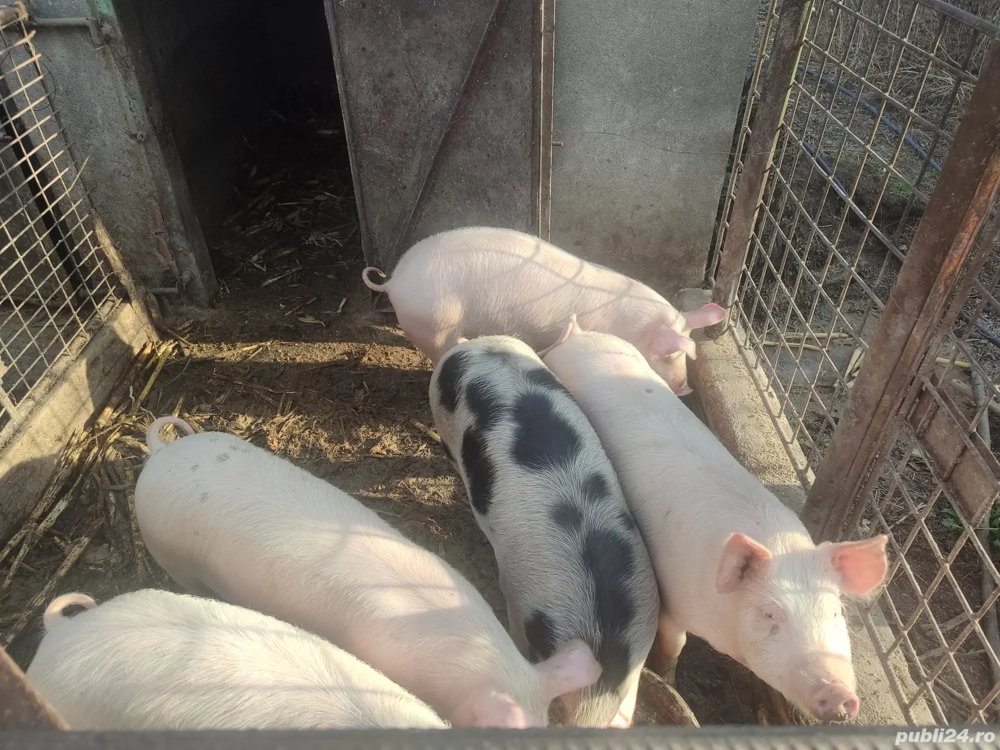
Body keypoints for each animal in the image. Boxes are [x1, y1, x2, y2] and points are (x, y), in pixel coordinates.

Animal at [542, 318, 890, 722]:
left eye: (836, 611)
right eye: (770, 614)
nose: (839, 696)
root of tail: (580, 335)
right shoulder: (673, 599)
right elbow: (675, 644)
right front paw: (671, 681)